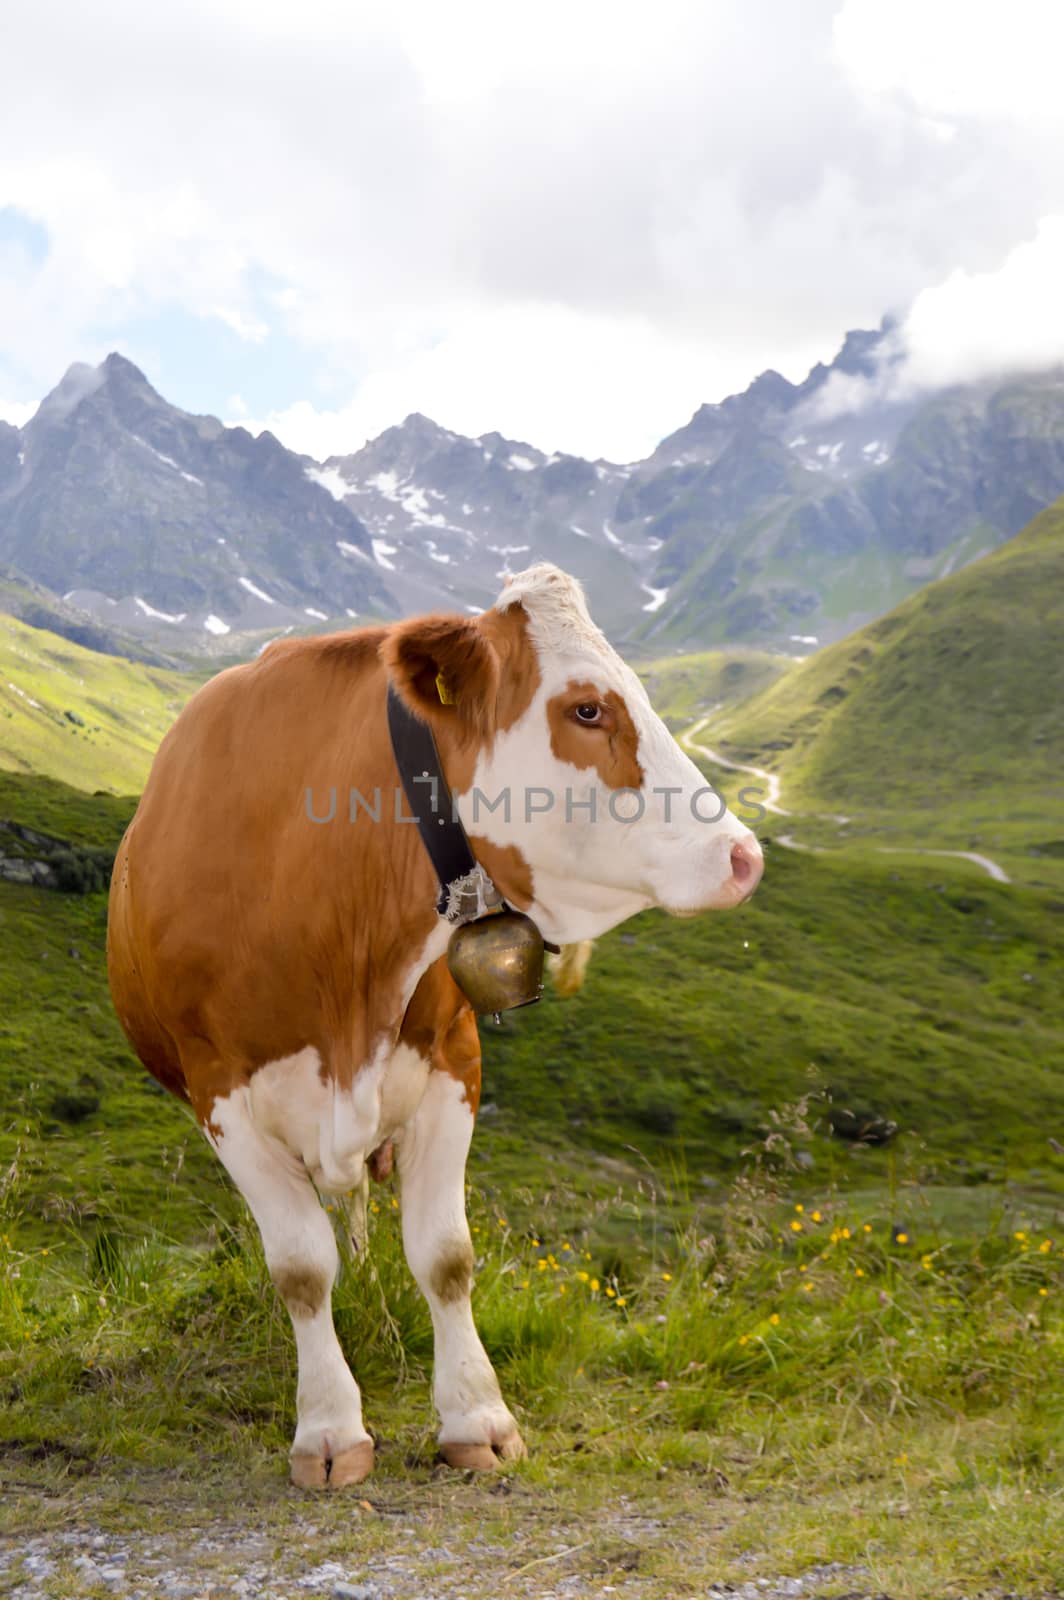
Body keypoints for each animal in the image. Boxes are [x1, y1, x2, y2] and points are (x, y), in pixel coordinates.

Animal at [108, 563, 758, 1484]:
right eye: (586, 709)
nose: (744, 857)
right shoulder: (220, 1095)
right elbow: (300, 1266)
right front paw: (330, 1429)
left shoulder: (454, 1065)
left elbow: (446, 1255)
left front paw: (476, 1416)